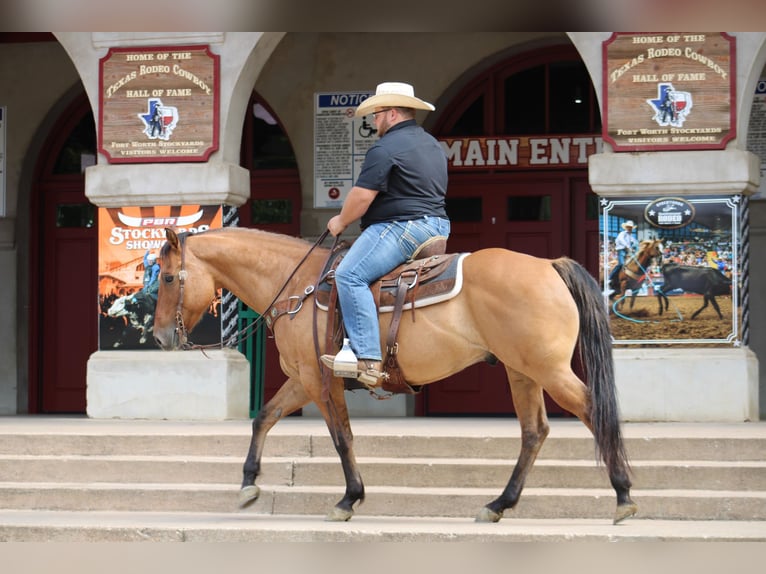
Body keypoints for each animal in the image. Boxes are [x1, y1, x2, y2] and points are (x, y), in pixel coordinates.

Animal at [152, 226, 636, 528]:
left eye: (171, 278)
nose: (158, 336)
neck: (297, 286)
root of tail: (548, 264)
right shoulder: (301, 379)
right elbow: (264, 417)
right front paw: (249, 484)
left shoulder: (319, 380)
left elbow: (341, 437)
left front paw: (349, 499)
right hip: (522, 371)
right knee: (534, 431)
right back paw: (499, 504)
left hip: (547, 370)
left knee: (594, 412)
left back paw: (624, 497)